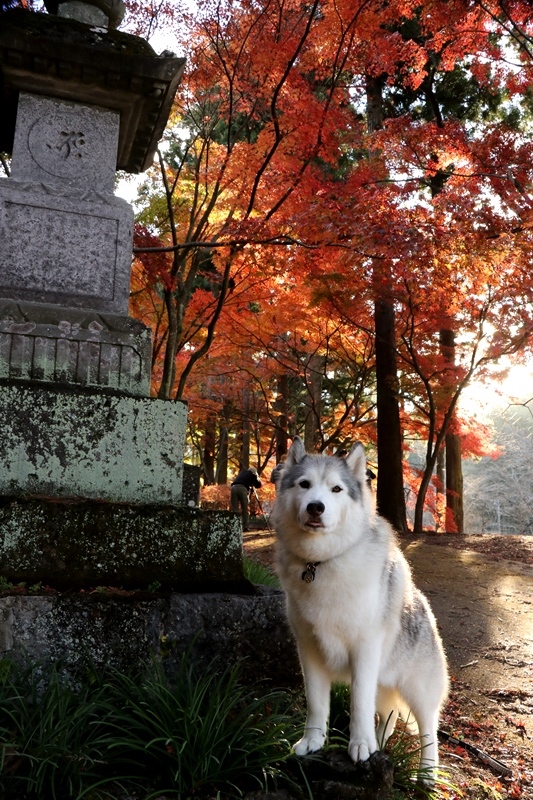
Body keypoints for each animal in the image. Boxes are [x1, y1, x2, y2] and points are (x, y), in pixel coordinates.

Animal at [272, 438, 446, 780]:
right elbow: (316, 702)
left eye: (336, 489)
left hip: (417, 690)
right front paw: (313, 741)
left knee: (428, 732)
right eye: (304, 484)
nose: (316, 507)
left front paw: (361, 745)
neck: (322, 563)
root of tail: (426, 608)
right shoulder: (308, 649)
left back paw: (426, 775)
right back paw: (382, 744)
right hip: (385, 685)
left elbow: (358, 704)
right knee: (389, 718)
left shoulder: (364, 651)